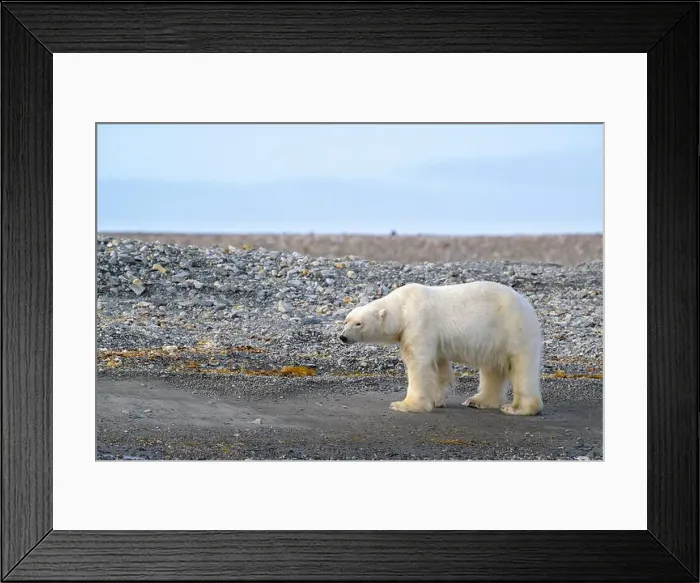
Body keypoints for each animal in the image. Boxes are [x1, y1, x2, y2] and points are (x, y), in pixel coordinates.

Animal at [338, 281, 543, 416]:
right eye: (346, 321)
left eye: (359, 323)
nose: (343, 337)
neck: (404, 307)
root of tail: (528, 306)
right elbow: (439, 367)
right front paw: (436, 400)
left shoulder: (419, 323)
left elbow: (418, 364)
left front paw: (404, 405)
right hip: (494, 340)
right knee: (492, 369)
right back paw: (478, 401)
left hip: (513, 330)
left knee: (521, 369)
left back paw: (517, 408)